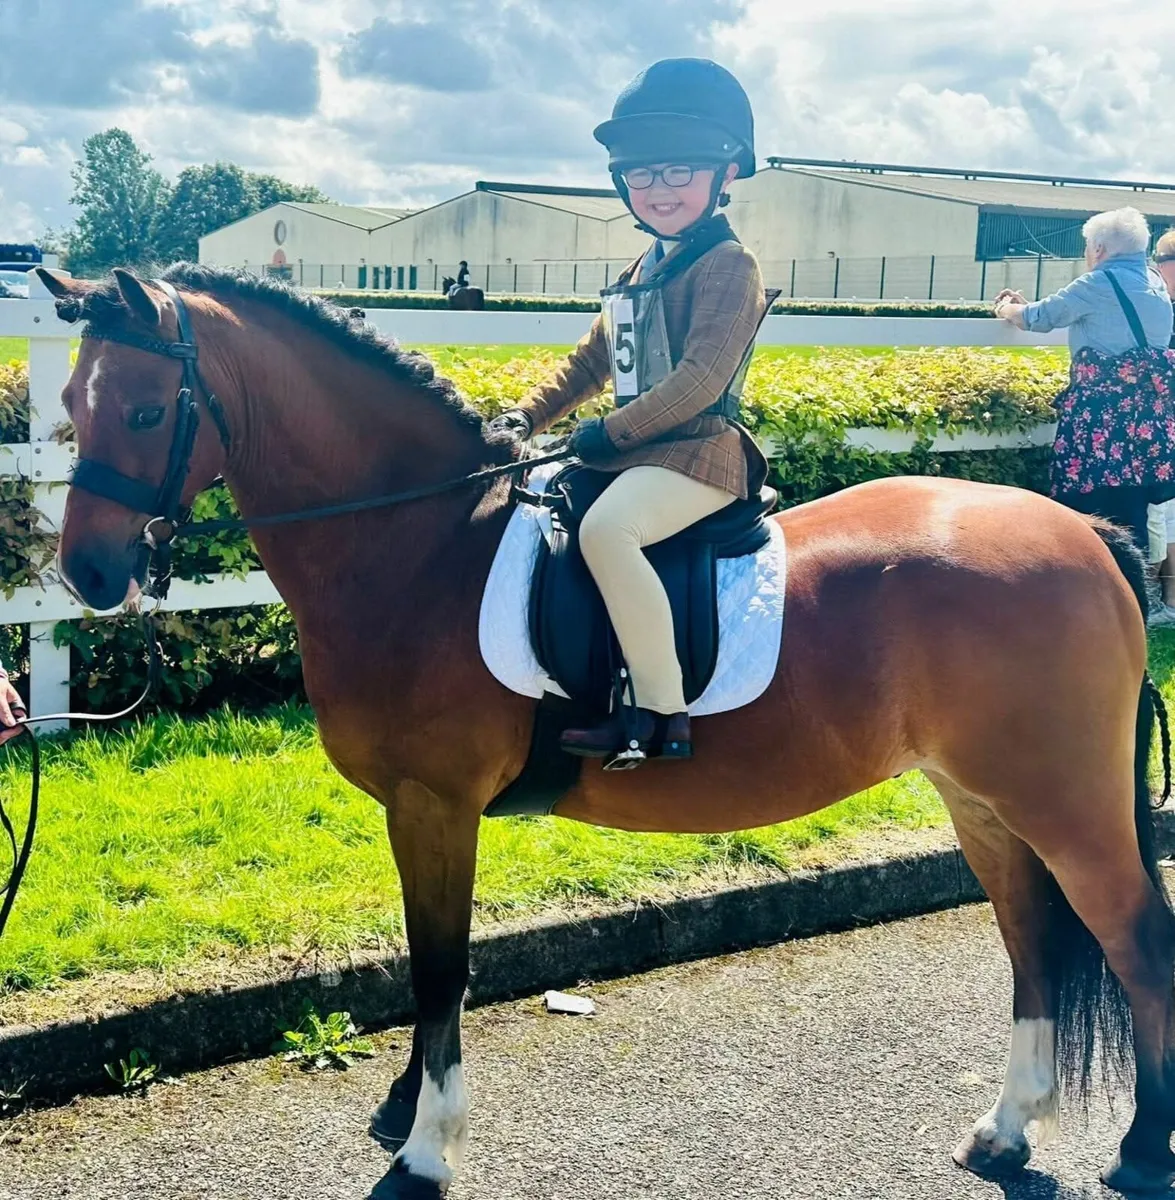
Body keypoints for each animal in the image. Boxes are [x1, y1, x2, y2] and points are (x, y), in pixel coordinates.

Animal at [37, 262, 1175, 1198]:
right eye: (67, 404)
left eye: (145, 407)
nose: (86, 574)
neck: (419, 545)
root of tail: (1084, 531)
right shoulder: (418, 812)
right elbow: (426, 962)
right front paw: (405, 1109)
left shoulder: (434, 806)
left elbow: (439, 969)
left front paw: (424, 1152)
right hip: (980, 798)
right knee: (1030, 938)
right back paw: (1005, 1132)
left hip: (1062, 804)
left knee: (1133, 939)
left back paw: (1138, 1150)